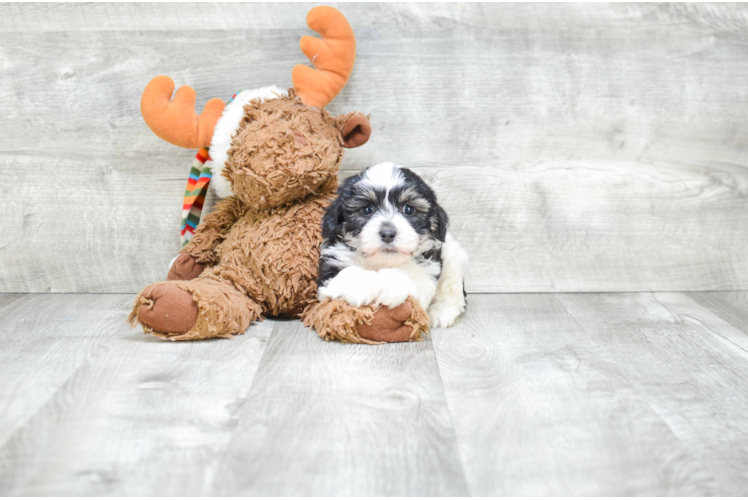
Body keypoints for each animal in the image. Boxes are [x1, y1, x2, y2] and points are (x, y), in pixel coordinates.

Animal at [318, 162, 468, 330]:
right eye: (367, 209)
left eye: (408, 209)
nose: (388, 233)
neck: (381, 262)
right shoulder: (332, 264)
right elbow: (345, 273)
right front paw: (360, 286)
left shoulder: (427, 270)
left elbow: (412, 278)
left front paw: (390, 284)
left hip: (453, 256)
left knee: (451, 286)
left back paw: (441, 310)